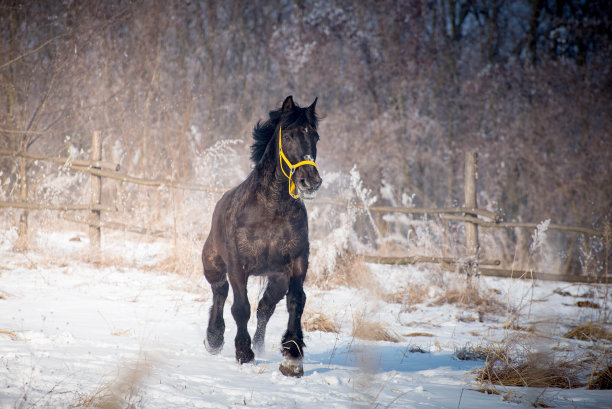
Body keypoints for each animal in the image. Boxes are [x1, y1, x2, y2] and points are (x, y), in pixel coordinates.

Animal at [203, 95, 322, 376]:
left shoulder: (298, 262)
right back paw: (214, 338)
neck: (271, 211)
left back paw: (258, 345)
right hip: (212, 265)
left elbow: (296, 301)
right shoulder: (238, 266)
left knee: (265, 308)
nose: (310, 182)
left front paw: (292, 356)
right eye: (287, 136)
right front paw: (243, 353)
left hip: (277, 279)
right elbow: (241, 308)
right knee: (220, 291)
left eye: (316, 136)